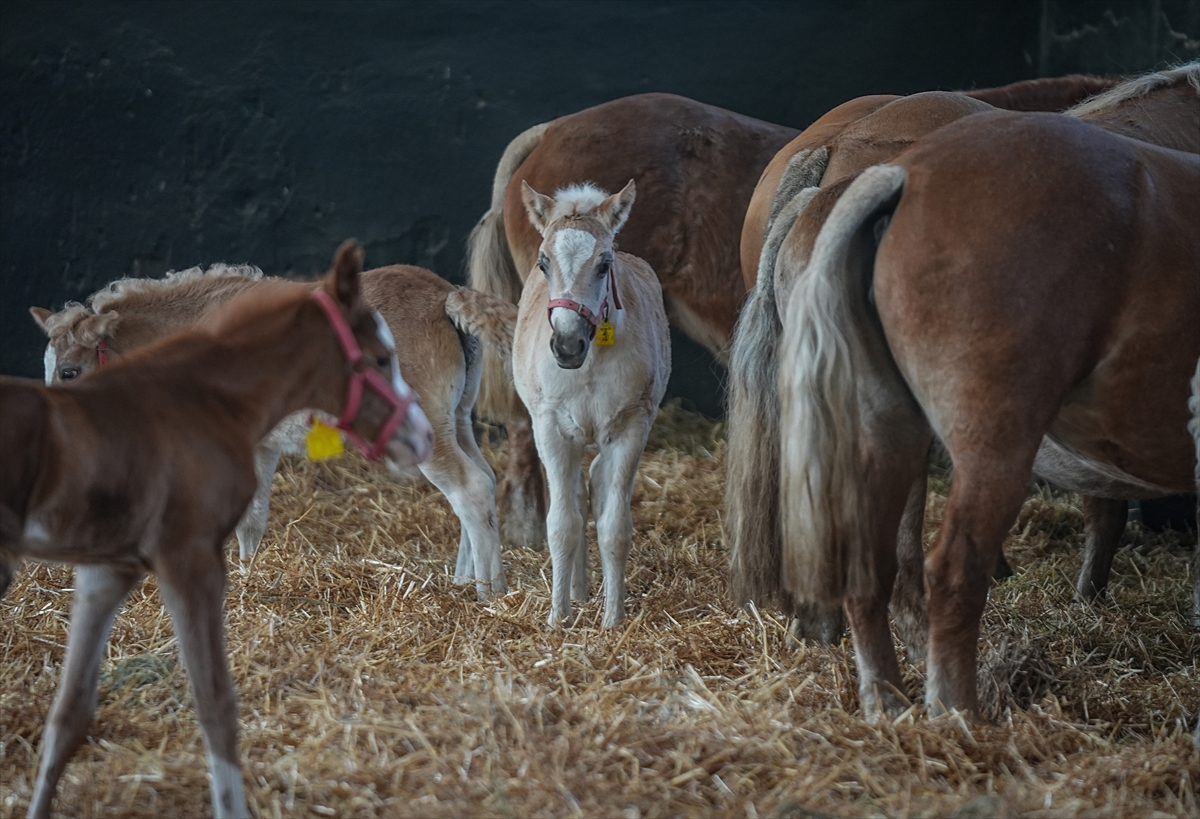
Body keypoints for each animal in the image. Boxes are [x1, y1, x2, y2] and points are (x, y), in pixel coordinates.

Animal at [30, 263, 517, 600]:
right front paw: (248, 577)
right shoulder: (261, 445)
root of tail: (444, 294)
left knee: (470, 488)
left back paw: (488, 592)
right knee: (485, 481)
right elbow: (254, 519)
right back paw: (466, 579)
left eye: (70, 371)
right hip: (457, 419)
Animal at [512, 181, 670, 628]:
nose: (567, 345)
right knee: (576, 500)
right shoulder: (550, 427)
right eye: (543, 263)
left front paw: (613, 619)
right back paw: (578, 592)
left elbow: (614, 525)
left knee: (595, 487)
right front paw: (558, 617)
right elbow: (563, 523)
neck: (590, 365)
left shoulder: (631, 427)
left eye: (604, 264)